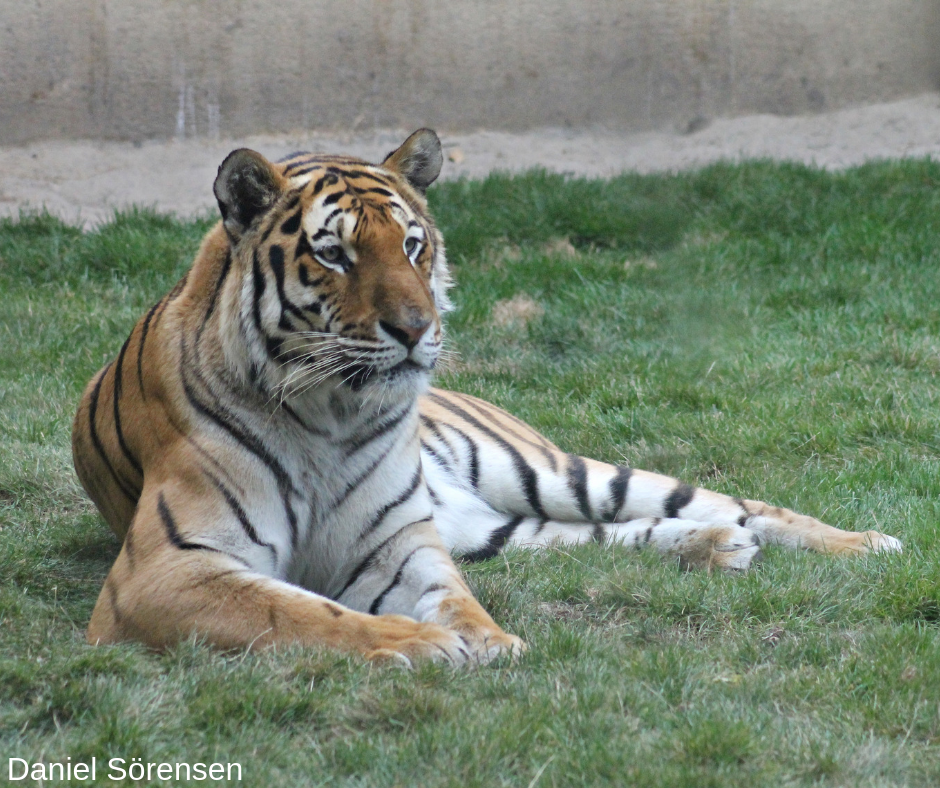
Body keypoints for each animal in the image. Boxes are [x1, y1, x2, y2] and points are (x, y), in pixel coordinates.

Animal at [72, 129, 903, 666]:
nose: (416, 329)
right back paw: (716, 548)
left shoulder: (399, 546)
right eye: (335, 254)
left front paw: (489, 640)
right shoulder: (166, 571)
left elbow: (453, 597)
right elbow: (298, 612)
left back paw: (865, 544)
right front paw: (431, 645)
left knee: (738, 505)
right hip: (492, 525)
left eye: (412, 244)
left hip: (555, 472)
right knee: (607, 534)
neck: (327, 416)